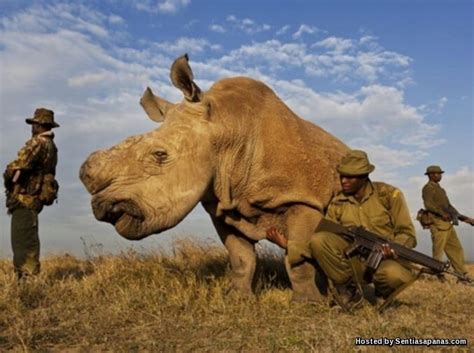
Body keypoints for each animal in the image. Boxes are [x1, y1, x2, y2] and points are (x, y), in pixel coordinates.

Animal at [79, 54, 348, 300]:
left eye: (159, 155)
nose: (103, 207)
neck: (227, 129)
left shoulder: (303, 199)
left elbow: (298, 259)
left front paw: (308, 303)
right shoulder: (222, 205)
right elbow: (241, 258)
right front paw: (238, 299)